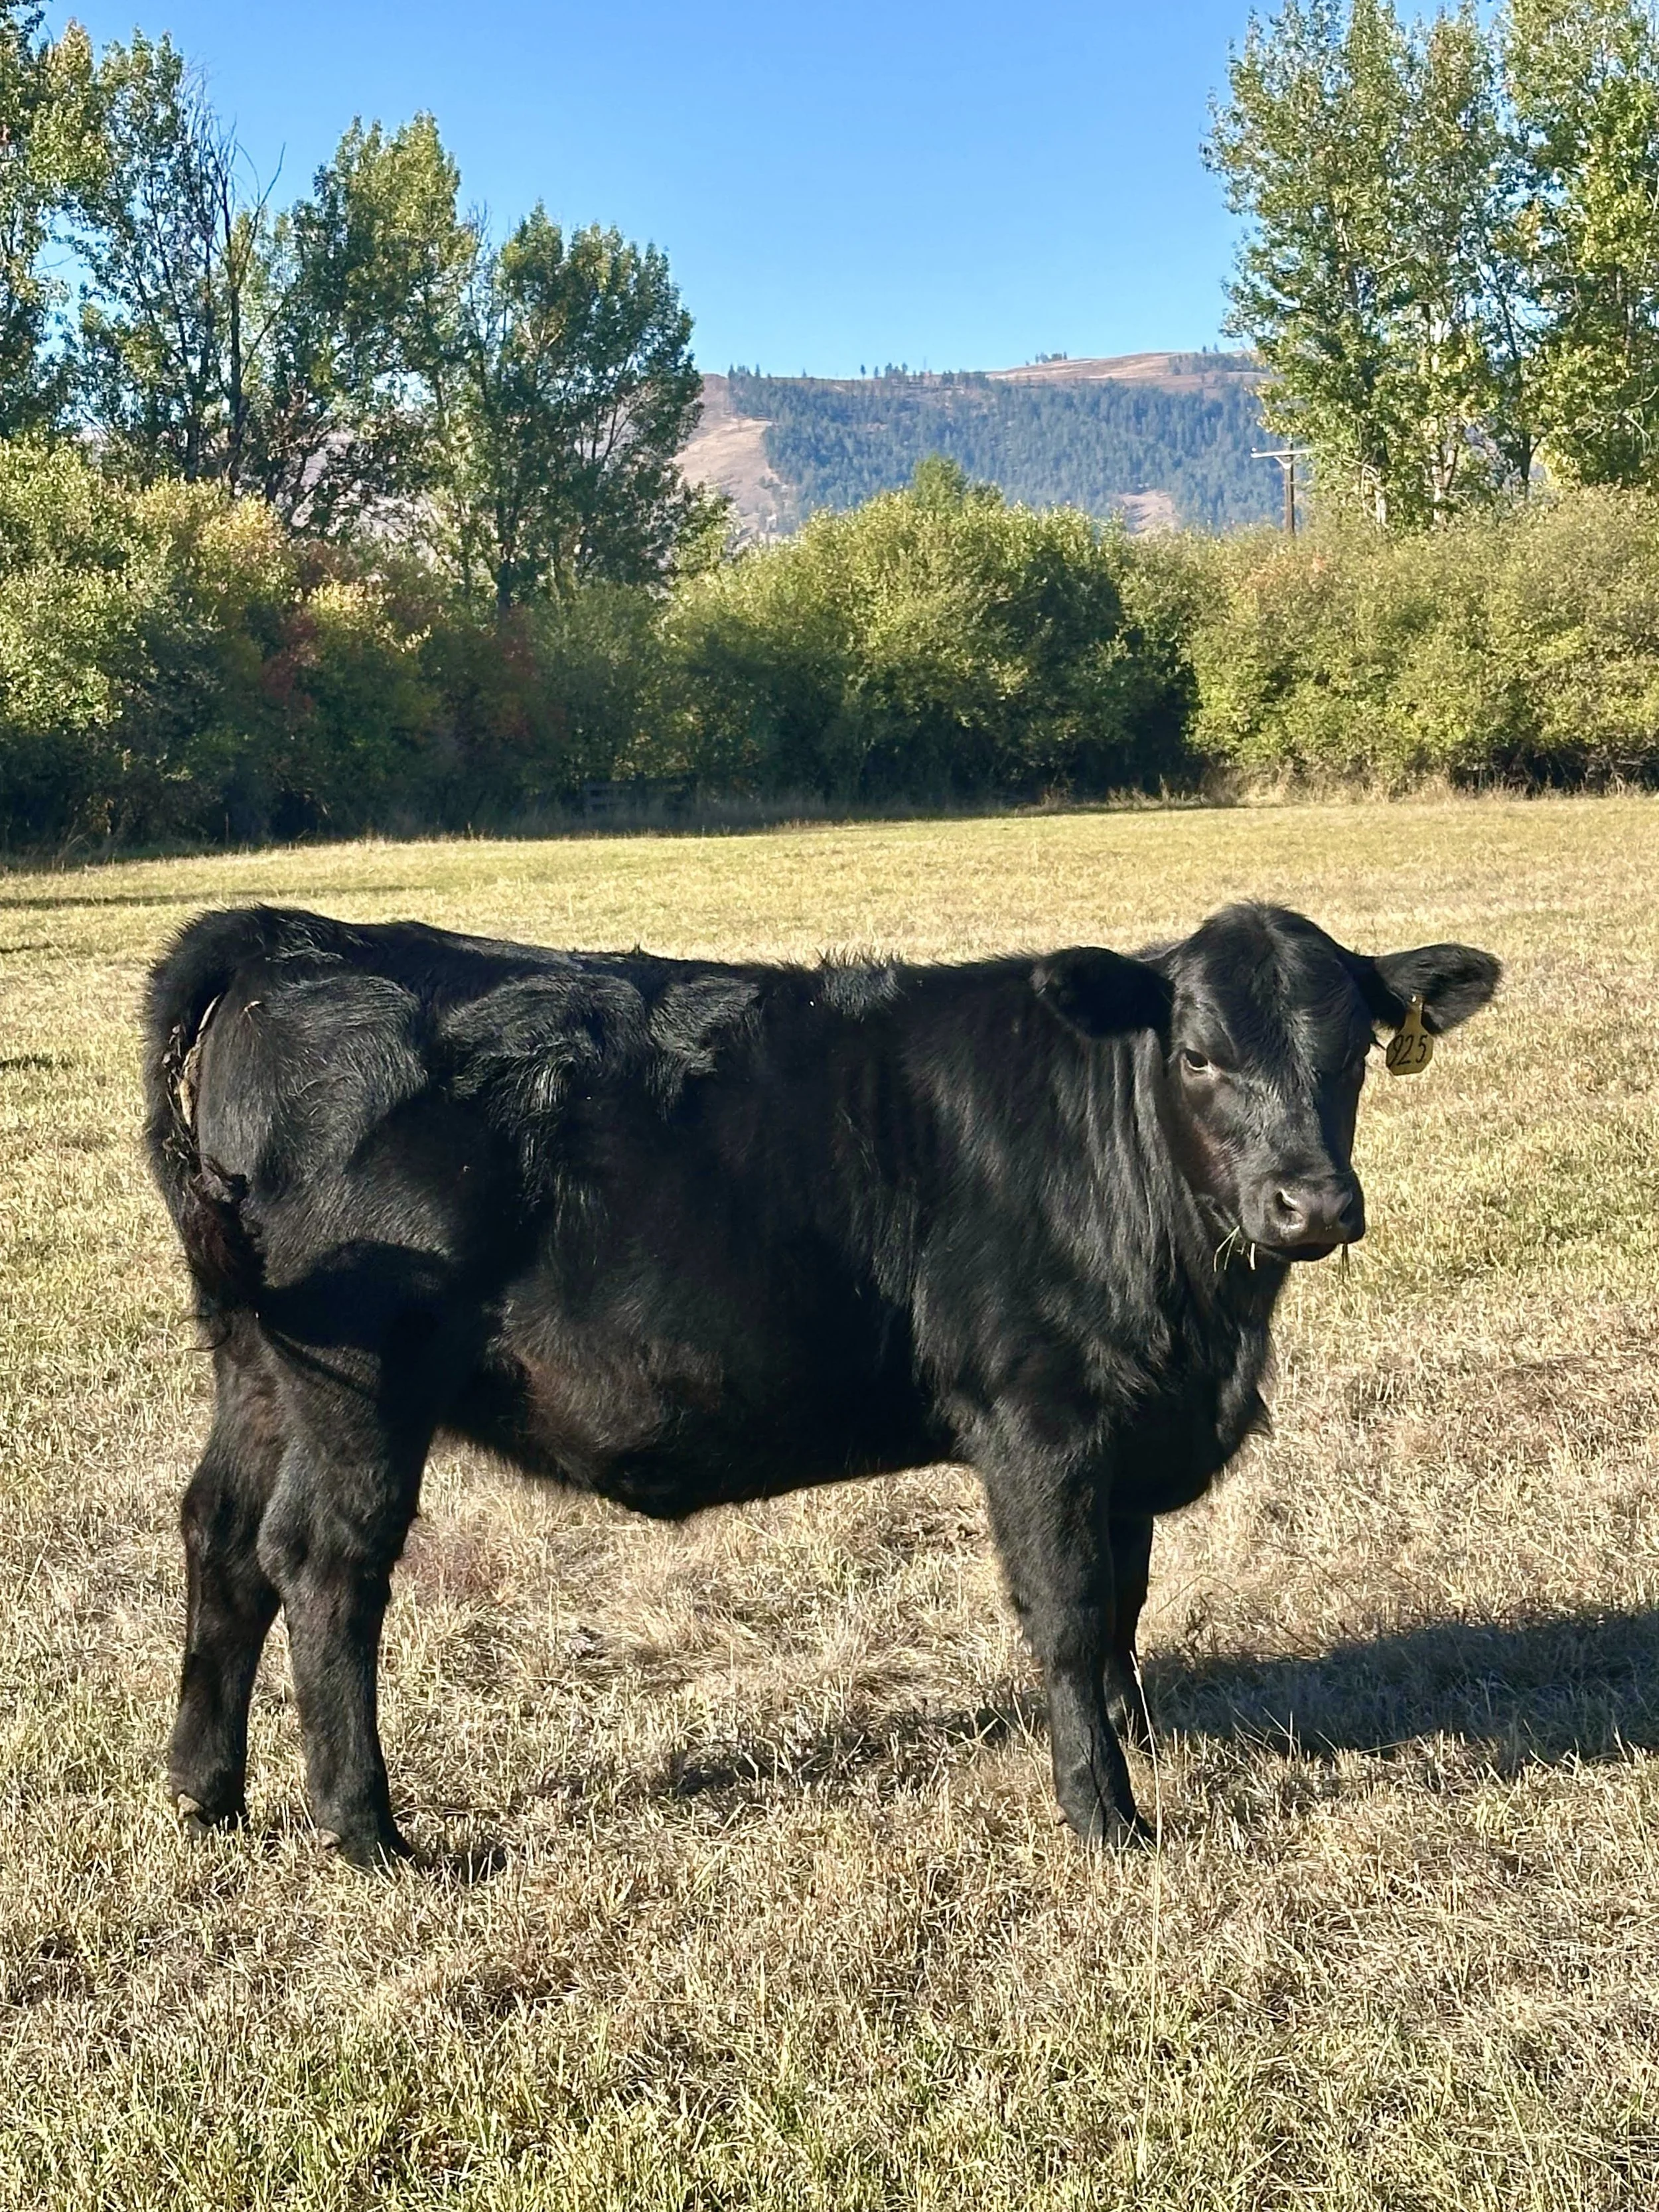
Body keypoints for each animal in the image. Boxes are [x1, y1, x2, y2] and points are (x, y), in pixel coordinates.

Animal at [143, 900, 1499, 1867]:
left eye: (1355, 1053)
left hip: (259, 1363)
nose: (1313, 1204)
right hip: (361, 1381)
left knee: (221, 1534)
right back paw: (367, 1829)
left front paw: (1142, 1742)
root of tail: (289, 938)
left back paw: (207, 1791)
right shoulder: (1042, 1416)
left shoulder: (1125, 1431)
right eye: (1204, 1056)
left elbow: (1126, 1600)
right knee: (322, 1561)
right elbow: (1068, 1611)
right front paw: (1107, 1815)